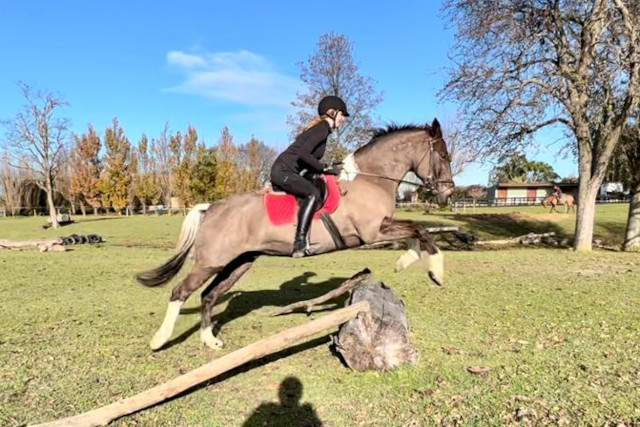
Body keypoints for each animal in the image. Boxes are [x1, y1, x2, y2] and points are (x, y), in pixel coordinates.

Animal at [137, 119, 455, 351]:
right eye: (443, 155)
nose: (448, 194)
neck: (370, 179)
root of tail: (211, 208)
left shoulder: (381, 228)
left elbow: (415, 231)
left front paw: (405, 262)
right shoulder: (373, 231)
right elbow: (420, 230)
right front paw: (437, 273)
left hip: (238, 263)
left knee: (208, 295)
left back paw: (209, 340)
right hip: (211, 262)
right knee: (181, 292)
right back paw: (159, 340)